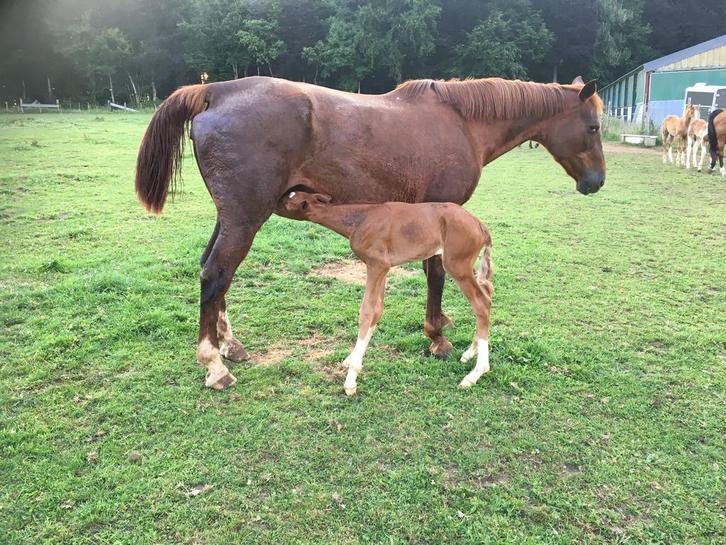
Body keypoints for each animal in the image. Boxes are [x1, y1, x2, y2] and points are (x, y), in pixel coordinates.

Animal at [277, 191, 493, 396]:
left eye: (287, 200)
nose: (274, 202)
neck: (360, 219)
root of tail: (480, 225)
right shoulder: (383, 268)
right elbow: (377, 310)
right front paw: (352, 359)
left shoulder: (376, 264)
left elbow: (367, 311)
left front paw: (351, 379)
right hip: (466, 266)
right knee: (487, 294)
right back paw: (469, 353)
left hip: (457, 265)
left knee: (481, 303)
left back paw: (475, 373)